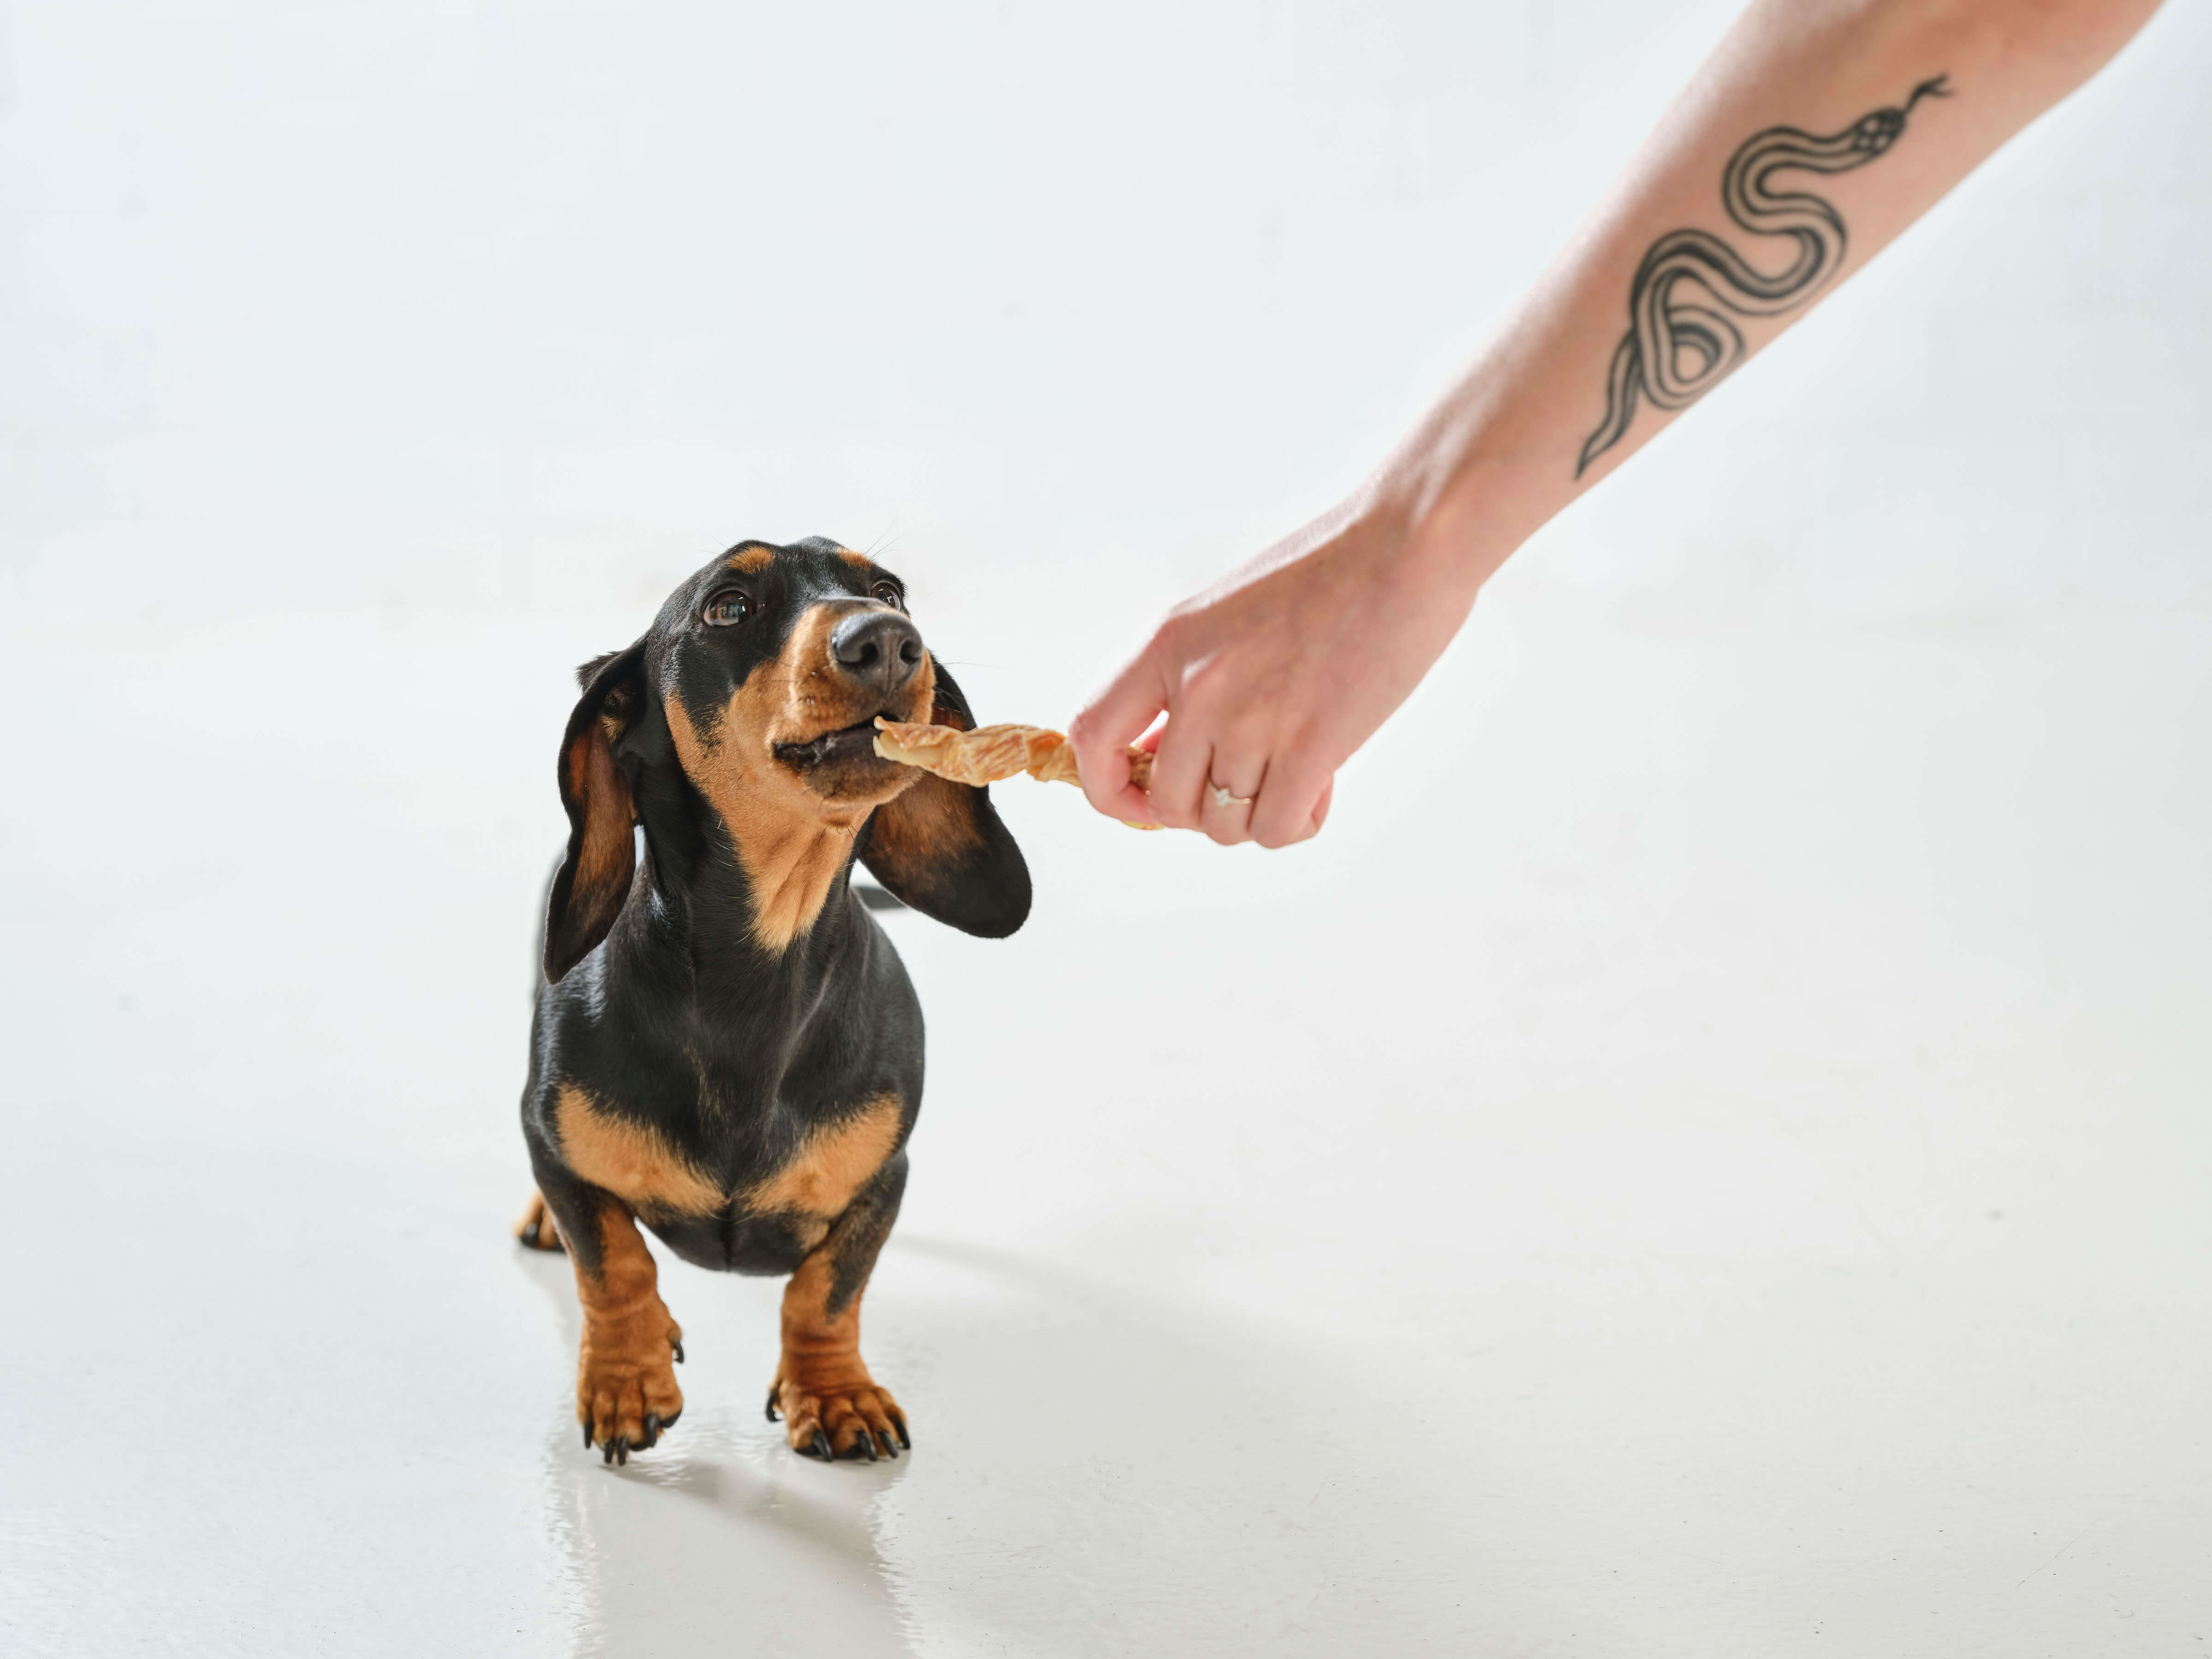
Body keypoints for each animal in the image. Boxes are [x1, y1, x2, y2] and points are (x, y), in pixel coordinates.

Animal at [515, 535, 1026, 1469]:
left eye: (890, 591)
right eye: (727, 606)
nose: (887, 642)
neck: (756, 981)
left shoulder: (883, 1182)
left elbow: (826, 1289)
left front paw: (835, 1394)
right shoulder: (550, 1141)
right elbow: (610, 1259)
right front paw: (627, 1378)